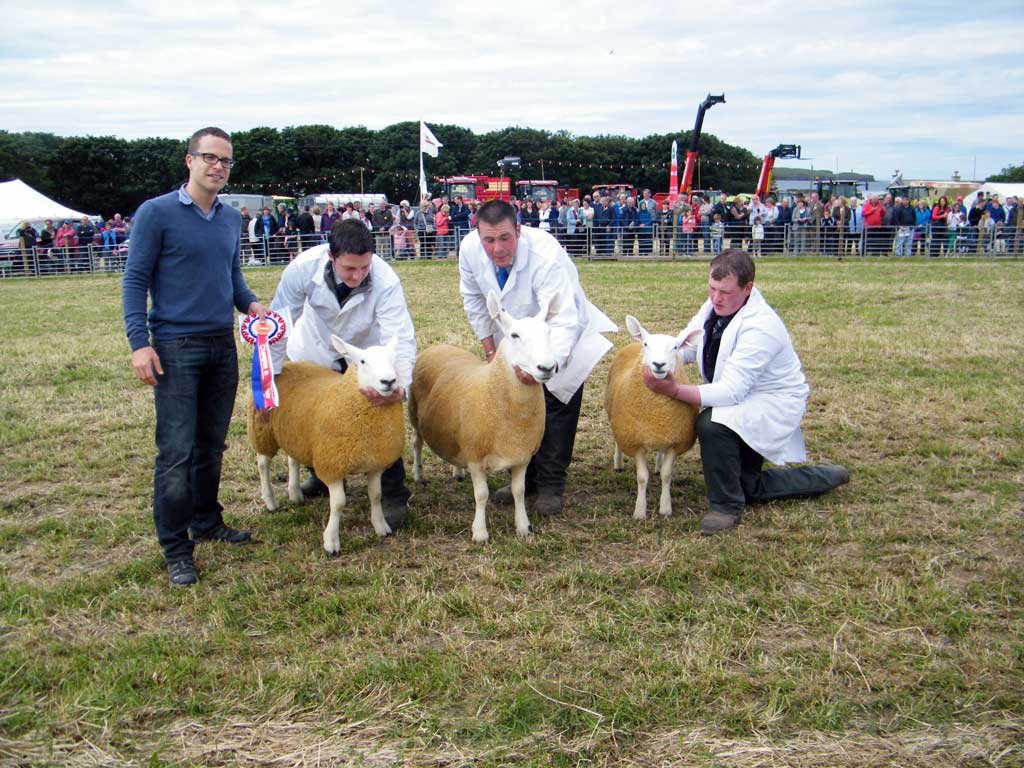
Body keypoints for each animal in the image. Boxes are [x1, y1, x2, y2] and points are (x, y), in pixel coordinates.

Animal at [245, 335, 405, 552]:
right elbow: (338, 504)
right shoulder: (332, 465)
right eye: (362, 361)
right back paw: (270, 501)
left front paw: (381, 526)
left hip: (295, 434)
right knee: (263, 464)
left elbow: (376, 495)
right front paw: (331, 541)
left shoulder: (375, 464)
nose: (388, 381)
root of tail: (287, 364)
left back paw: (295, 493)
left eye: (393, 359)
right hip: (263, 432)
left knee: (292, 460)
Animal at [409, 290, 561, 544]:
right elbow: (481, 495)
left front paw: (523, 526)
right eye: (514, 335)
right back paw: (418, 474)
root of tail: (439, 346)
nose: (548, 367)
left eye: (549, 332)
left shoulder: (522, 456)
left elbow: (519, 492)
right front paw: (479, 532)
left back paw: (457, 472)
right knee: (417, 443)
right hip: (414, 415)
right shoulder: (475, 455)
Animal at [598, 315, 704, 520]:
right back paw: (618, 463)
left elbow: (667, 475)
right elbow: (642, 478)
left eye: (676, 347)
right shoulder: (635, 441)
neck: (657, 412)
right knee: (618, 442)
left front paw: (665, 508)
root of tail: (634, 343)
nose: (659, 365)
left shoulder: (674, 440)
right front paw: (640, 510)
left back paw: (657, 465)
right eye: (647, 344)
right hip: (617, 419)